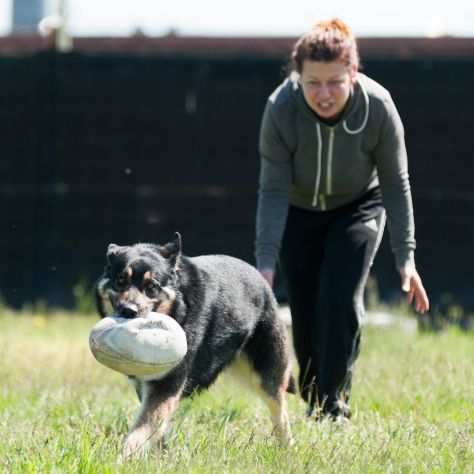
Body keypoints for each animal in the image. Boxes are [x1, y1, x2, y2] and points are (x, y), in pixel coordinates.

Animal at [95, 233, 294, 460]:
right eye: (120, 281)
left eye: (152, 286)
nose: (128, 311)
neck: (177, 308)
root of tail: (262, 280)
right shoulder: (148, 385)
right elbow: (155, 426)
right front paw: (158, 456)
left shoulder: (167, 383)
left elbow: (142, 427)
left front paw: (124, 458)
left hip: (265, 375)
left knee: (279, 411)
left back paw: (287, 449)